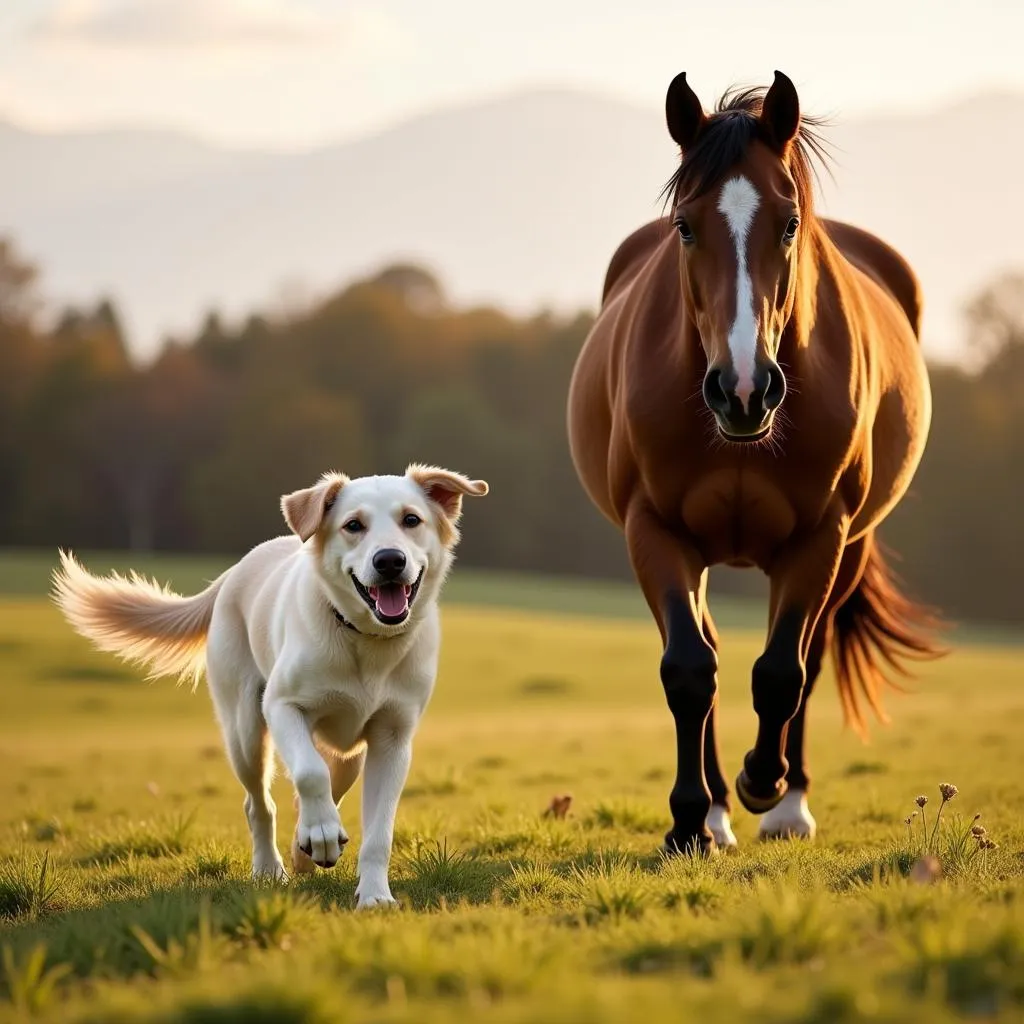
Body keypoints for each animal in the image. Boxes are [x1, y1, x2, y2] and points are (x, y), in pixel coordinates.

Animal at [51, 468, 487, 909]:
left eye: (411, 520)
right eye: (353, 525)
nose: (390, 560)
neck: (365, 640)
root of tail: (234, 571)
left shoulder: (393, 737)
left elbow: (378, 828)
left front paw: (375, 895)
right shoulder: (282, 706)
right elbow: (310, 773)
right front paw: (321, 835)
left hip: (349, 753)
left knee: (327, 784)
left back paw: (306, 847)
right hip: (244, 731)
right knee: (258, 803)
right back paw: (273, 865)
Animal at [569, 74, 942, 856]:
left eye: (790, 222)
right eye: (685, 226)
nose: (743, 389)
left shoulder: (822, 534)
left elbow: (781, 672)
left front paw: (765, 785)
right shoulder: (655, 529)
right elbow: (688, 669)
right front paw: (690, 819)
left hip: (848, 548)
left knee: (808, 656)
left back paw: (784, 804)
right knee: (704, 651)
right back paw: (714, 810)